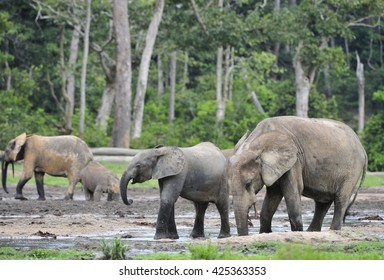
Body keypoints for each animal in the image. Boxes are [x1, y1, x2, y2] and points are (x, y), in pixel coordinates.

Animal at [226, 116, 368, 236]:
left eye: (248, 183)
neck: (257, 143)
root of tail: (363, 148)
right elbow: (273, 196)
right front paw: (265, 233)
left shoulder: (294, 161)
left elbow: (293, 192)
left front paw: (297, 232)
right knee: (322, 203)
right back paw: (312, 232)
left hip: (352, 169)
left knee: (340, 199)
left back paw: (332, 230)